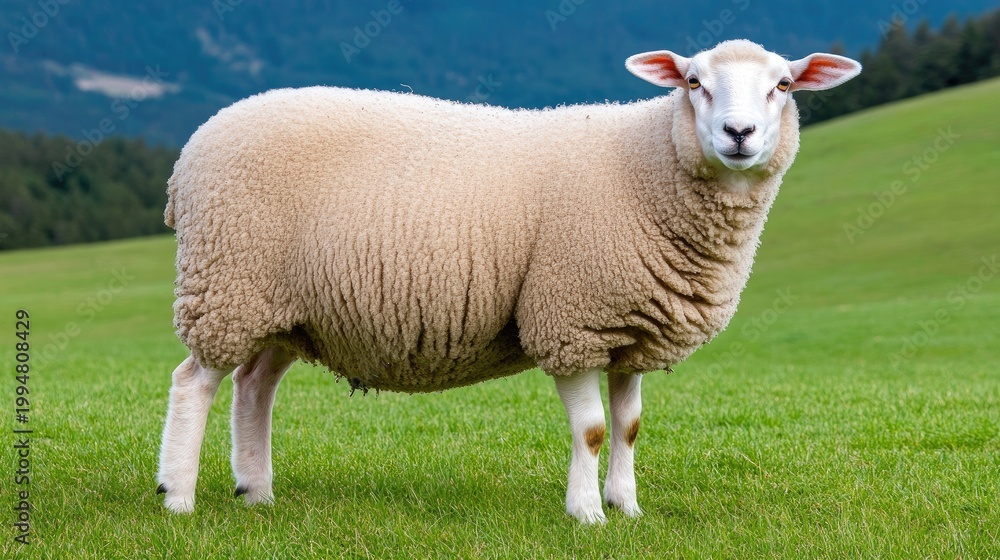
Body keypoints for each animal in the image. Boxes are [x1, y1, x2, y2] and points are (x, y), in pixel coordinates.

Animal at [156, 39, 861, 523]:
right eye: (693, 82)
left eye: (783, 85)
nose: (739, 134)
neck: (647, 162)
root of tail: (191, 151)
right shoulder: (571, 317)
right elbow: (593, 429)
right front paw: (587, 514)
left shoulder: (632, 327)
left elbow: (629, 425)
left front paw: (627, 507)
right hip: (228, 282)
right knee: (194, 382)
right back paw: (179, 498)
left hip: (282, 308)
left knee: (254, 386)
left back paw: (256, 492)